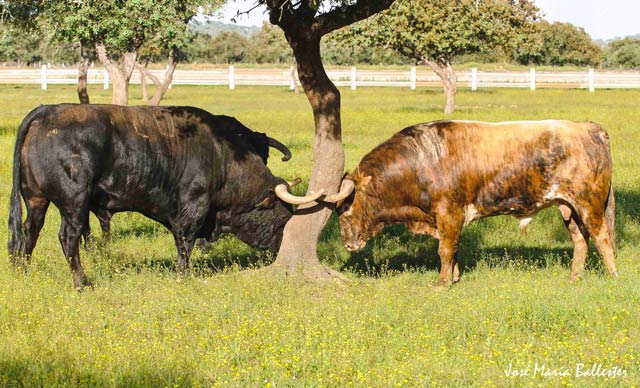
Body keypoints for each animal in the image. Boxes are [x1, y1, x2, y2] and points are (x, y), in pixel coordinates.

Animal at [8, 104, 320, 290]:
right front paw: (183, 275)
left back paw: (23, 272)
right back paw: (81, 282)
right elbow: (186, 242)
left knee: (29, 232)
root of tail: (46, 112)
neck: (222, 157)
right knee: (68, 238)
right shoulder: (193, 206)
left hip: (36, 200)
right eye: (282, 214)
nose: (281, 246)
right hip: (74, 204)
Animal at [324, 119, 616, 284]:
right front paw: (453, 276)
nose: (348, 244)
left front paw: (442, 282)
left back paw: (612, 276)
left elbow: (445, 249)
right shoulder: (447, 219)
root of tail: (589, 128)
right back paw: (574, 277)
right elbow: (452, 248)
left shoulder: (449, 212)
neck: (422, 161)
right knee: (580, 239)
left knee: (603, 238)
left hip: (589, 204)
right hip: (569, 208)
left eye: (346, 207)